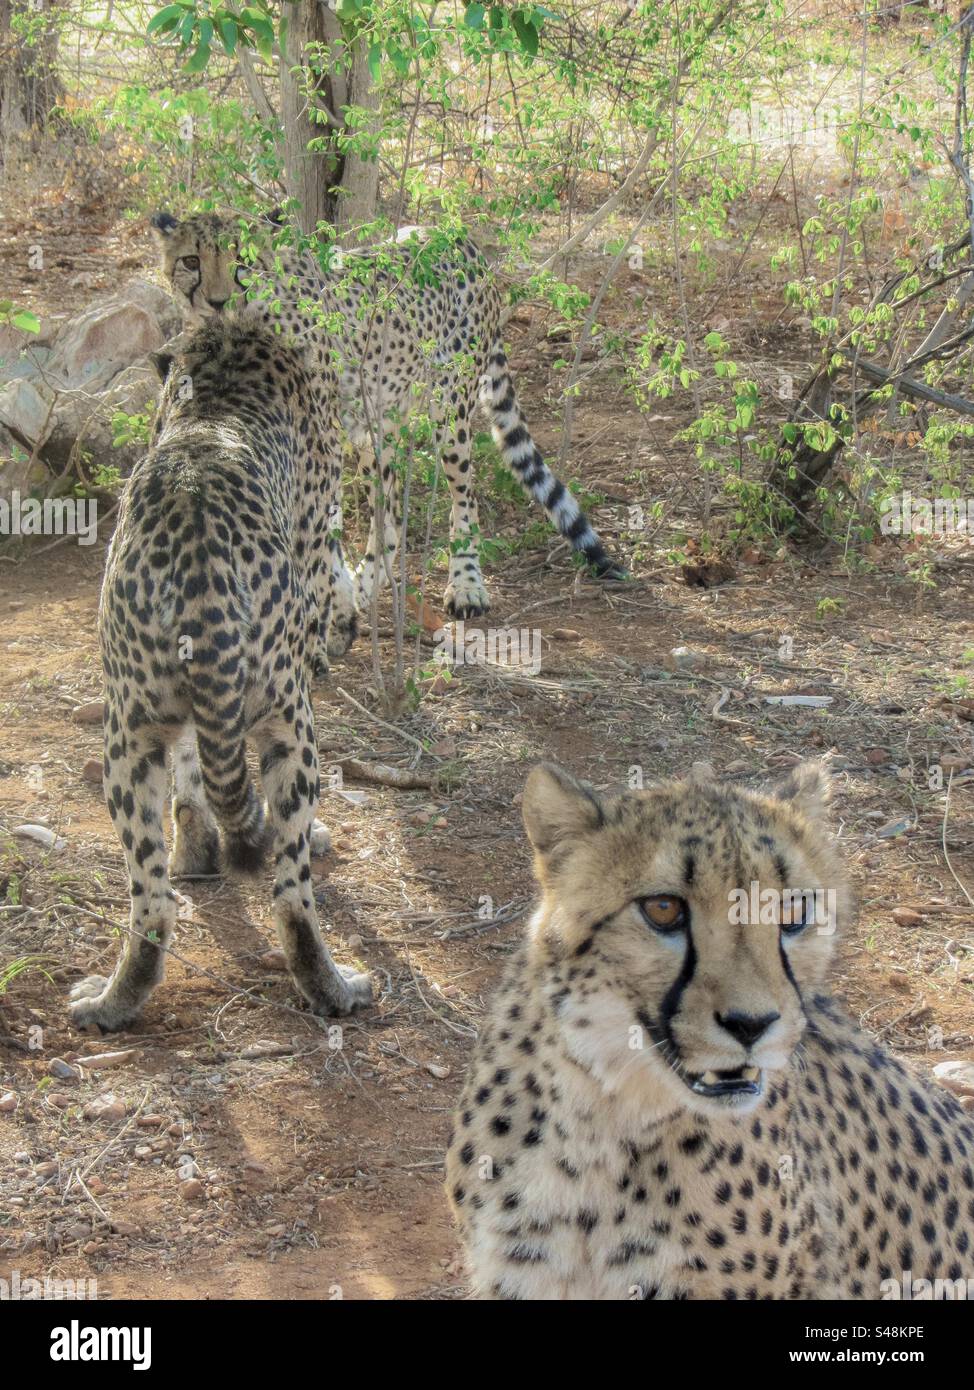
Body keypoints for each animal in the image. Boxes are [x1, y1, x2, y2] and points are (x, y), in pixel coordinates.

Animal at [67, 318, 372, 1034]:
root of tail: (196, 530)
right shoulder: (318, 542)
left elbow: (193, 773)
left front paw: (197, 849)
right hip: (291, 718)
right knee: (291, 895)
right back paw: (335, 987)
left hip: (127, 733)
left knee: (152, 900)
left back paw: (113, 1002)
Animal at [152, 209, 622, 625]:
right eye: (191, 261)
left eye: (243, 261)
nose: (218, 302)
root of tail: (455, 234)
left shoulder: (320, 437)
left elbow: (319, 524)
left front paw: (324, 602)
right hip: (377, 421)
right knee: (392, 513)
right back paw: (366, 583)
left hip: (448, 408)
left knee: (463, 495)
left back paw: (465, 584)